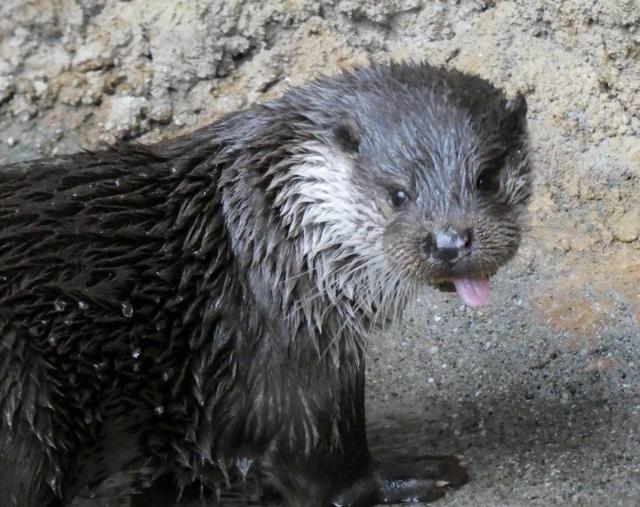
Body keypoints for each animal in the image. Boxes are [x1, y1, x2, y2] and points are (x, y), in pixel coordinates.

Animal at [0, 61, 528, 506]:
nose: (449, 241)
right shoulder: (283, 333)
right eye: (397, 194)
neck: (275, 227)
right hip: (21, 398)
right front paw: (407, 476)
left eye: (486, 179)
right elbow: (324, 460)